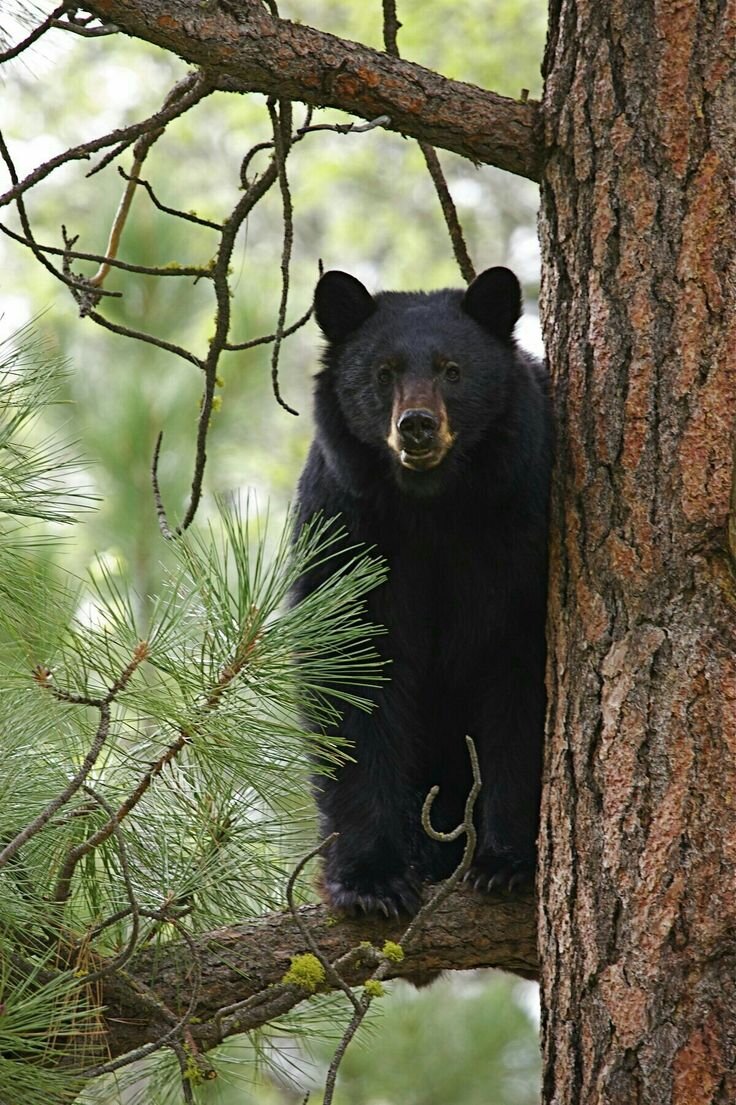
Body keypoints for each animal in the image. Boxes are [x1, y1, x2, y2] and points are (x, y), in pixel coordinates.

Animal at [287, 265, 550, 914]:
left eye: (452, 370)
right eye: (384, 372)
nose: (417, 426)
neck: (433, 507)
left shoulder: (521, 525)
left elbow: (519, 683)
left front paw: (506, 862)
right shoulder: (346, 526)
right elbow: (351, 674)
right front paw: (370, 880)